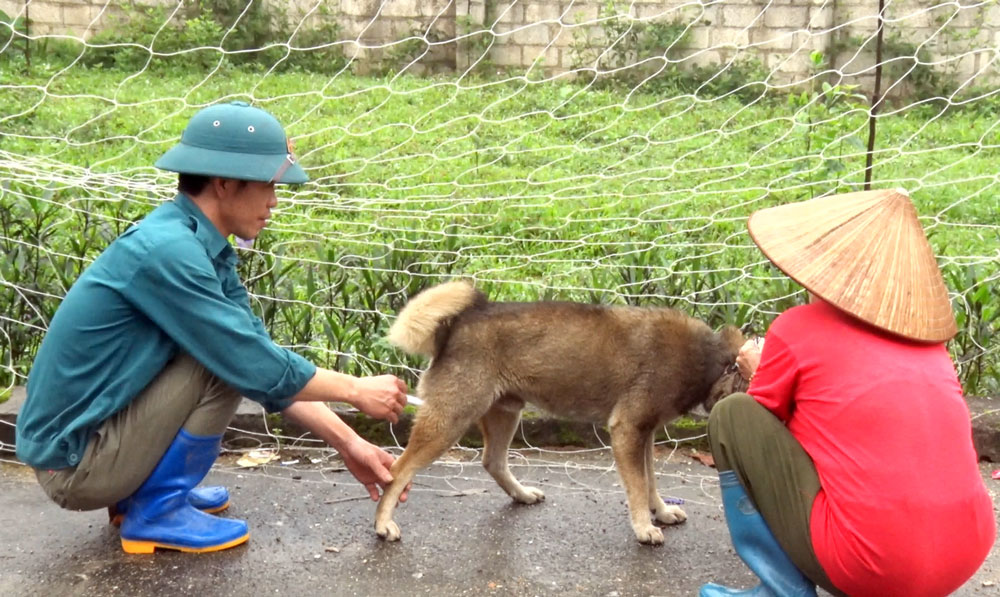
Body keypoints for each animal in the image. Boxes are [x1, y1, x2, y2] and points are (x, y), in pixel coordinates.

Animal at [376, 282, 744, 544]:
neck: (709, 357)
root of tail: (463, 319)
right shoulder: (628, 429)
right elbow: (638, 486)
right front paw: (643, 526)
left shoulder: (645, 432)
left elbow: (651, 481)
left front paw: (663, 512)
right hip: (451, 419)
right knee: (397, 469)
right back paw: (383, 522)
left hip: (505, 412)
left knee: (492, 461)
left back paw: (522, 495)